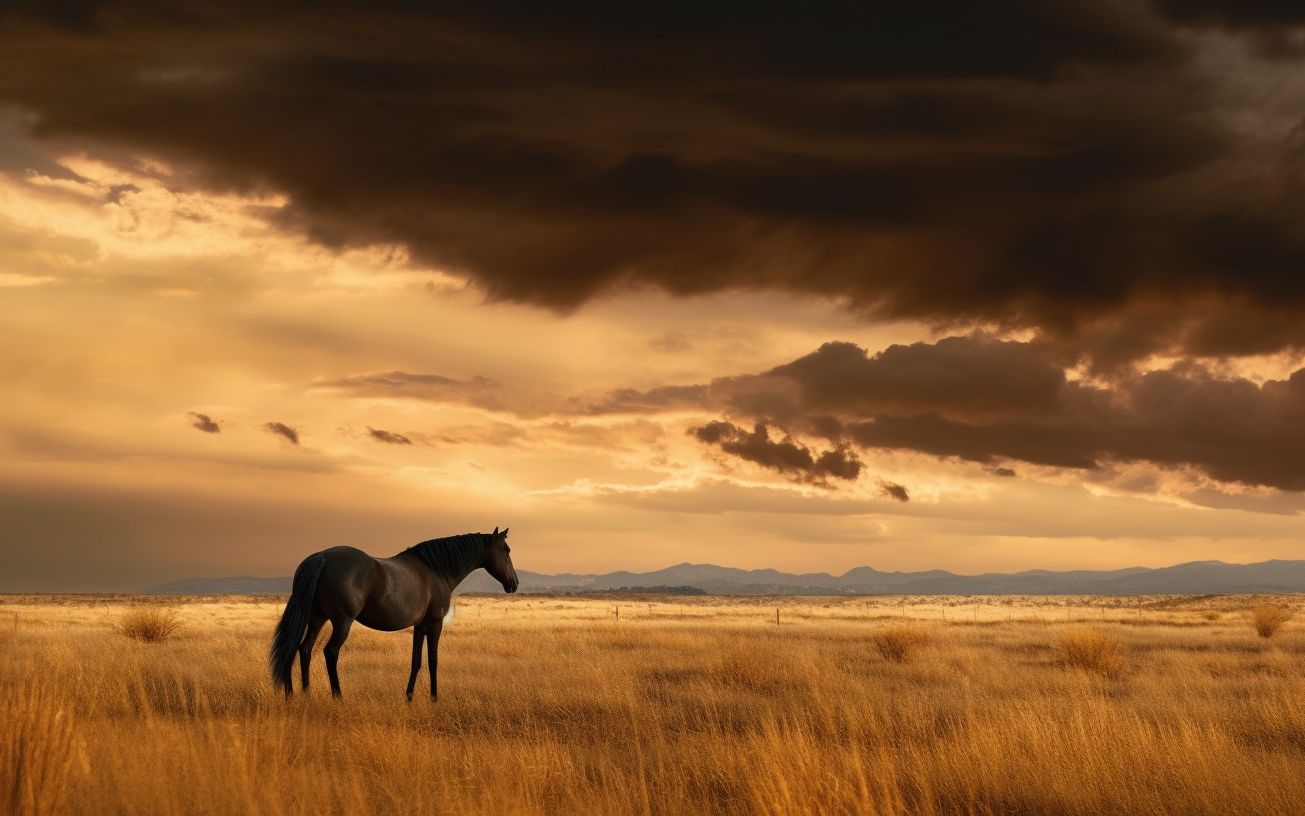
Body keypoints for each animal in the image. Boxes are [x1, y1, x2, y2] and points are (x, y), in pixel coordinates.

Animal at [267, 527, 516, 699]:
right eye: (506, 550)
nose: (513, 583)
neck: (436, 571)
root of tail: (322, 557)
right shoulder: (435, 624)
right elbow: (433, 661)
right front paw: (435, 698)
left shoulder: (420, 626)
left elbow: (416, 661)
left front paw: (409, 697)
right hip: (342, 622)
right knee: (330, 652)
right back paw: (337, 696)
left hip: (317, 618)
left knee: (302, 649)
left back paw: (302, 694)